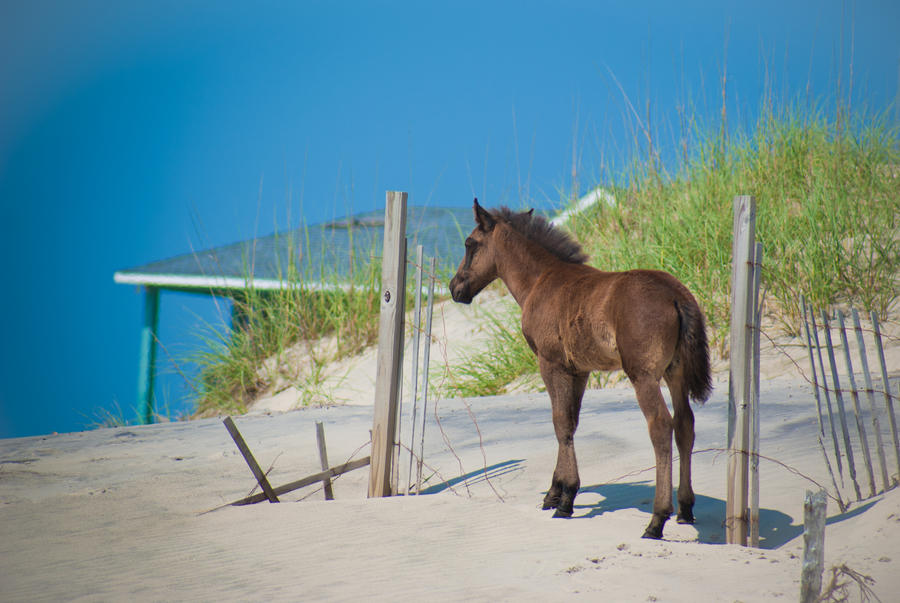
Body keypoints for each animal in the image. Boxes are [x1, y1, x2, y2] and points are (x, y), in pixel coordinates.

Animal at [450, 201, 712, 540]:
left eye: (470, 244)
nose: (455, 288)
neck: (540, 282)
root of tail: (676, 295)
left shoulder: (551, 364)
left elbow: (560, 422)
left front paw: (566, 499)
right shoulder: (580, 370)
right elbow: (572, 422)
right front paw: (554, 492)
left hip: (643, 376)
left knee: (660, 426)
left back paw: (657, 520)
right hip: (675, 372)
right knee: (684, 424)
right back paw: (686, 509)